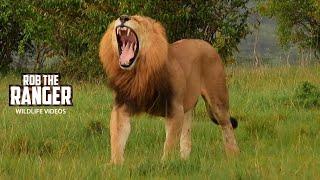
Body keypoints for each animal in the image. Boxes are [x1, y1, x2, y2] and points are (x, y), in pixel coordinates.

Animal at [99, 15, 239, 165]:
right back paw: (184, 160)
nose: (123, 18)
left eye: (138, 20)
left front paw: (165, 163)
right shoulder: (122, 105)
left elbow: (170, 141)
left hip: (217, 99)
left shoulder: (174, 109)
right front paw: (115, 164)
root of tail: (208, 45)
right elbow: (117, 137)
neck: (139, 72)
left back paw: (233, 157)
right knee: (186, 135)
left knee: (227, 126)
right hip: (187, 105)